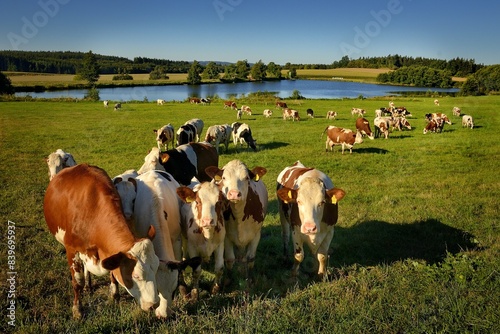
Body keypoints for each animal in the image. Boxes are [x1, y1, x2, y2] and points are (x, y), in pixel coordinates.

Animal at [44, 164, 160, 318]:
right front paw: (77, 308)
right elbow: (77, 282)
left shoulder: (110, 253)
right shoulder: (71, 249)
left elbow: (113, 273)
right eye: (136, 276)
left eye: (156, 268)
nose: (155, 304)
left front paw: (115, 295)